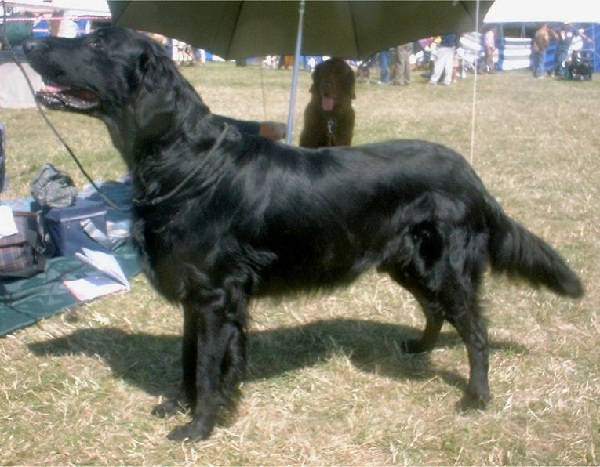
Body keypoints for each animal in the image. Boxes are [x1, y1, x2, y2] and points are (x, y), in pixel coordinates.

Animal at [23, 28, 580, 442]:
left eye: (98, 42)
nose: (26, 43)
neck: (186, 161)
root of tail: (470, 173)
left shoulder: (215, 296)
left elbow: (205, 367)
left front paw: (199, 427)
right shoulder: (195, 296)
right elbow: (188, 359)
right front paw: (179, 406)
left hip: (445, 266)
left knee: (475, 331)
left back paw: (476, 397)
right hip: (407, 262)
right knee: (435, 311)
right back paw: (420, 349)